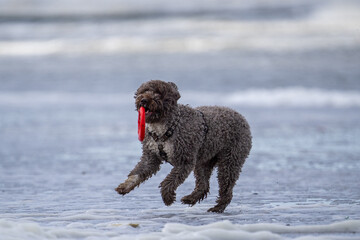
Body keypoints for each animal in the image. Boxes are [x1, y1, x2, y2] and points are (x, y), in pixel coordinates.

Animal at [116, 80, 252, 212]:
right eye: (143, 91)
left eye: (158, 93)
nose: (143, 100)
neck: (163, 127)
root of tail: (242, 117)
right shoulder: (151, 157)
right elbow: (137, 173)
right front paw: (125, 186)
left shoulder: (184, 160)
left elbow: (170, 180)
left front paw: (167, 197)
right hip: (203, 161)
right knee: (203, 184)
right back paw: (191, 198)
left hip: (230, 159)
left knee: (226, 186)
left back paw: (218, 207)